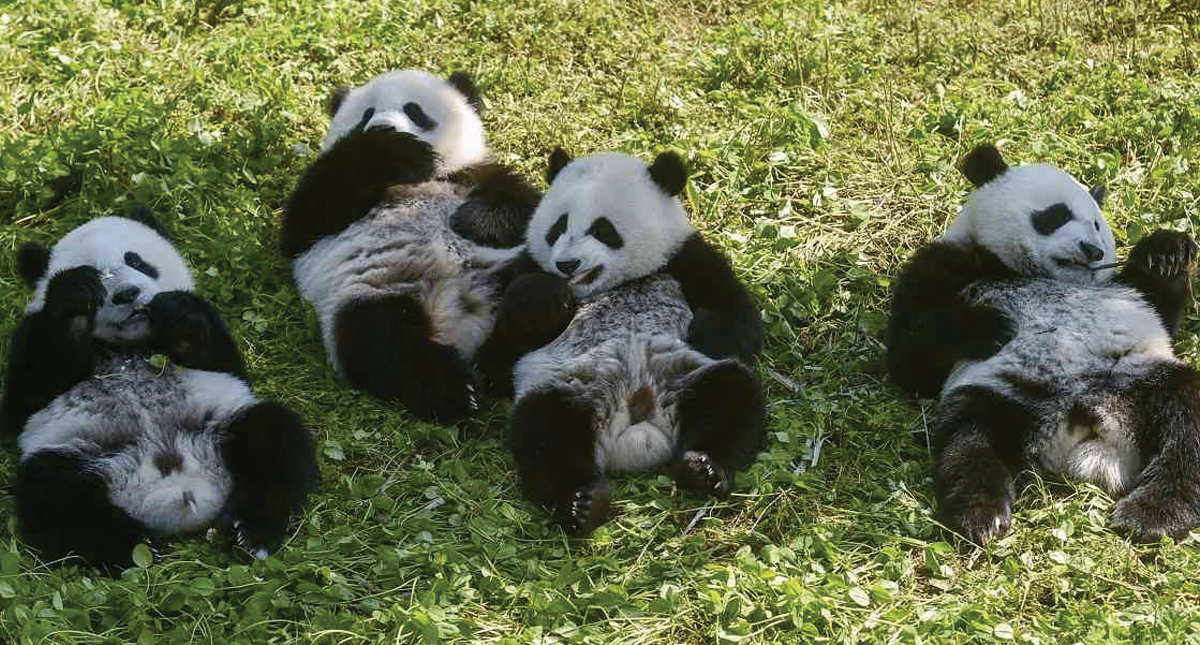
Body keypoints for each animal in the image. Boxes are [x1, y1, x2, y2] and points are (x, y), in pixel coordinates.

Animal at [1, 209, 319, 570]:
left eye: (136, 260)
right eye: (97, 274)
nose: (128, 294)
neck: (129, 346)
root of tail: (179, 492)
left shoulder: (212, 344)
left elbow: (223, 361)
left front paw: (176, 313)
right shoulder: (31, 336)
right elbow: (25, 398)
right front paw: (76, 299)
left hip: (222, 422)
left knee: (274, 438)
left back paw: (249, 530)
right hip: (82, 453)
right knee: (53, 494)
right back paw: (135, 546)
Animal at [281, 69, 541, 423]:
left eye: (414, 110)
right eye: (366, 114)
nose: (384, 126)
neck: (415, 179)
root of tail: (463, 323)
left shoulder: (473, 173)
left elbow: (528, 206)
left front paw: (473, 222)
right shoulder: (318, 225)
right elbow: (306, 219)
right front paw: (388, 147)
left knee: (536, 284)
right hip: (371, 293)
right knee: (382, 342)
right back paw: (458, 390)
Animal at [485, 148, 766, 534]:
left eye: (602, 229)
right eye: (558, 227)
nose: (567, 264)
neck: (612, 285)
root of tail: (638, 424)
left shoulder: (683, 258)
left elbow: (739, 318)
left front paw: (704, 333)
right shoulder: (525, 268)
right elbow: (501, 350)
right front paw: (547, 297)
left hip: (685, 374)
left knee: (731, 397)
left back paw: (704, 469)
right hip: (573, 385)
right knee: (545, 431)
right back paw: (583, 502)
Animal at [887, 143, 1200, 544]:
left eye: (1097, 224)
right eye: (1056, 214)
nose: (1093, 250)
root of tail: (1084, 425)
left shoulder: (1123, 294)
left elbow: (1159, 308)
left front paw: (1167, 253)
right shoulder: (948, 262)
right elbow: (909, 358)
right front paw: (991, 325)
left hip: (1137, 378)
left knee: (1186, 420)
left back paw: (1152, 513)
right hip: (1007, 393)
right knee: (969, 437)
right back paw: (982, 513)